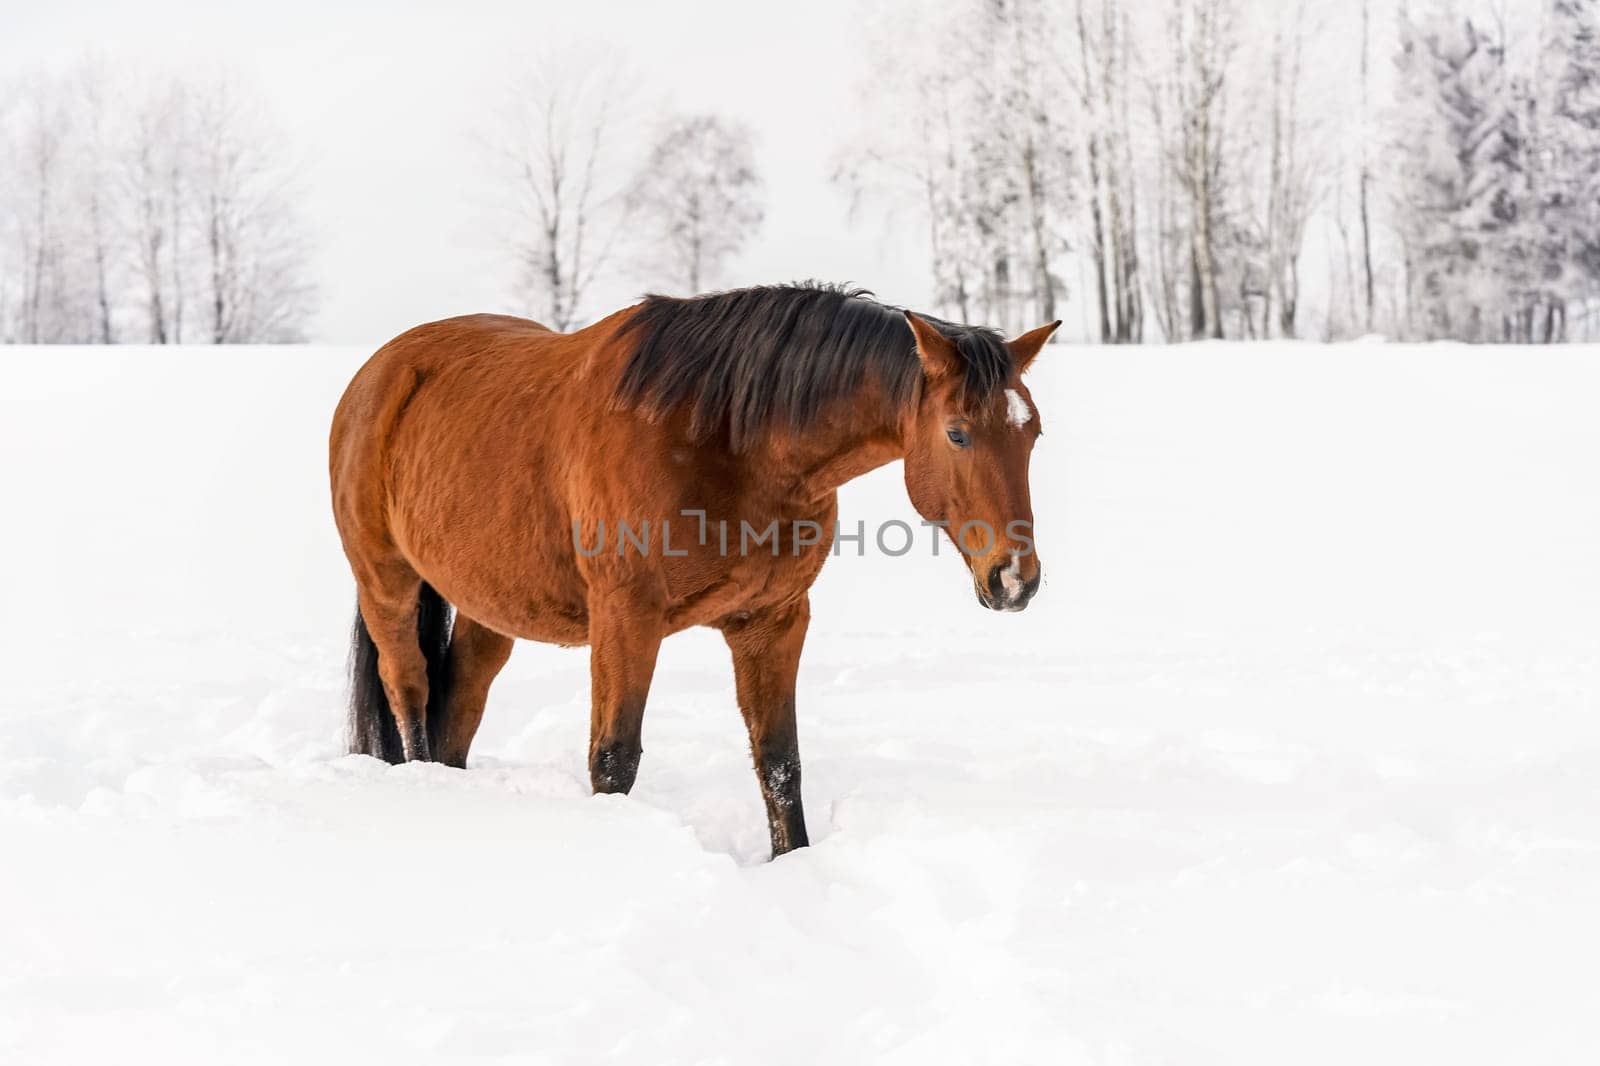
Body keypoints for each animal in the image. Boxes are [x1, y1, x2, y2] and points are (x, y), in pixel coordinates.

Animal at [329, 281, 1056, 857]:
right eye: (958, 433)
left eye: (1034, 434)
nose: (1015, 579)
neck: (726, 437)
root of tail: (379, 372)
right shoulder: (626, 619)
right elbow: (614, 759)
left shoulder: (772, 621)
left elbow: (779, 761)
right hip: (386, 582)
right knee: (410, 688)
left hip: (494, 606)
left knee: (460, 702)